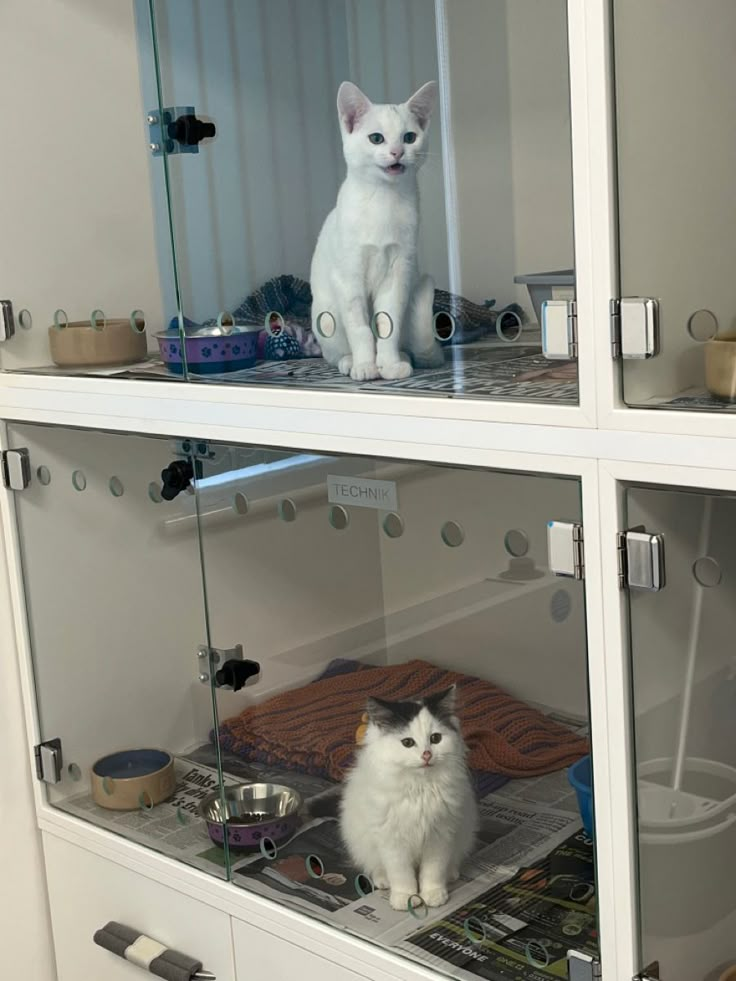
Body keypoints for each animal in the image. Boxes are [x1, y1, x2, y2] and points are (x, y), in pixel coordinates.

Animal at [310, 79, 442, 382]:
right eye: (377, 139)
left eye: (409, 137)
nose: (397, 152)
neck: (384, 201)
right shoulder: (349, 278)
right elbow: (360, 330)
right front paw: (365, 365)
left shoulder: (398, 273)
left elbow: (386, 323)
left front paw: (389, 364)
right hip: (325, 315)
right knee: (334, 355)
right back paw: (349, 362)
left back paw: (402, 357)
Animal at [310, 684, 478, 908]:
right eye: (407, 742)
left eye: (435, 739)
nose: (426, 755)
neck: (419, 788)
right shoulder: (392, 839)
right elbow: (402, 874)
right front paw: (406, 899)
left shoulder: (439, 834)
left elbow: (433, 870)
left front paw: (433, 895)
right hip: (361, 842)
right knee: (376, 867)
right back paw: (383, 881)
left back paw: (450, 875)